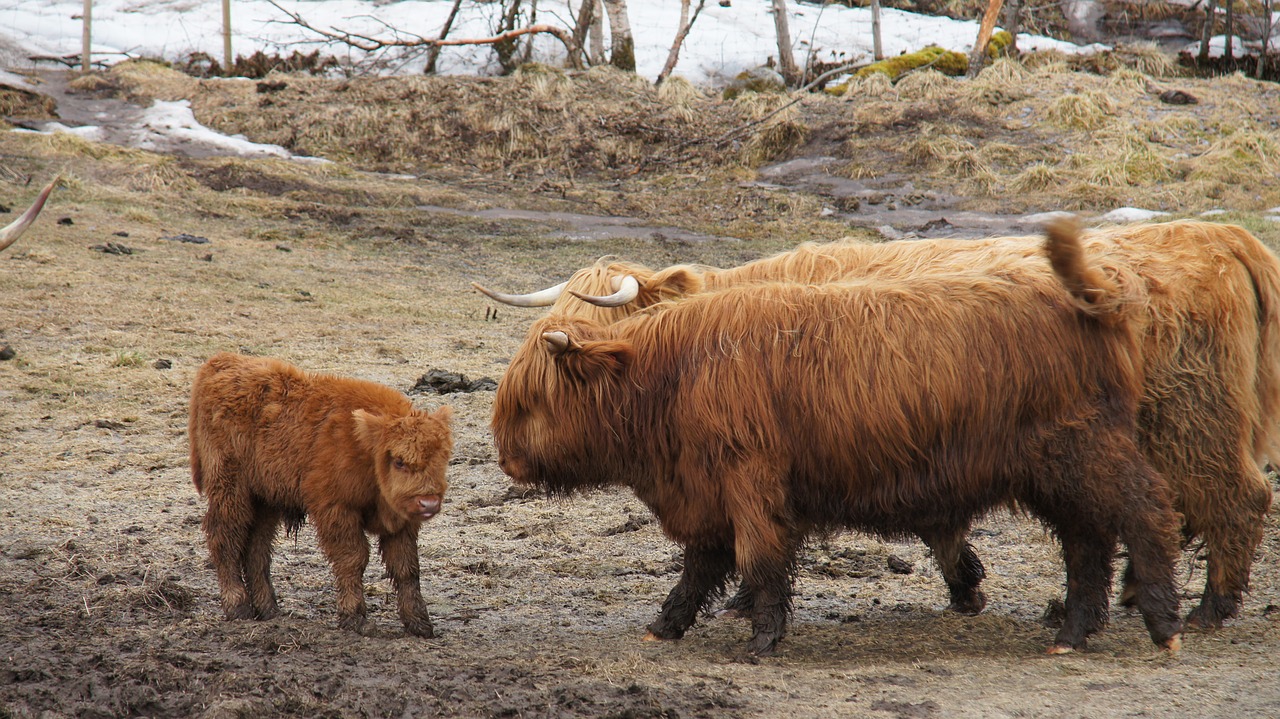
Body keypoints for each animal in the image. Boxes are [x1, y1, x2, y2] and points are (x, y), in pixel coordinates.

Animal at [481, 218, 1280, 626]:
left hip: (1192, 425)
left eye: (588, 329)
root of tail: (1219, 235)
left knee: (1233, 499)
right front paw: (966, 585)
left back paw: (1207, 610)